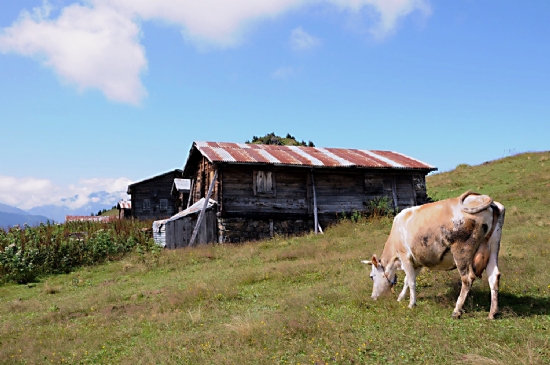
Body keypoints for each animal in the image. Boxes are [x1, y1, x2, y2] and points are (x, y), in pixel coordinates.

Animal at [364, 191, 506, 318]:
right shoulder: (417, 261)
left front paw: (411, 304)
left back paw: (456, 311)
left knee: (468, 278)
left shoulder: (405, 256)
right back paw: (492, 313)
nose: (372, 297)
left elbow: (411, 281)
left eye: (371, 276)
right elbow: (407, 280)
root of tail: (485, 200)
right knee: (494, 276)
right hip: (493, 246)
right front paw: (400, 298)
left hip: (462, 251)